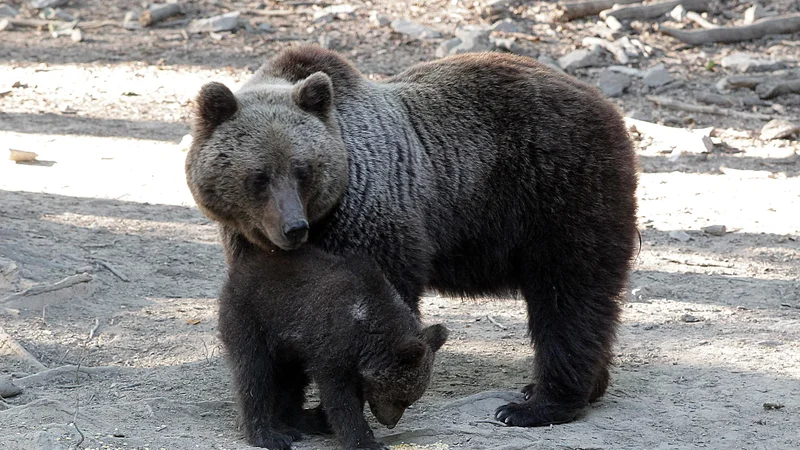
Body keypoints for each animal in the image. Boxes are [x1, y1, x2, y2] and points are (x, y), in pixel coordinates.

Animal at [186, 45, 636, 428]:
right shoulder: (254, 246)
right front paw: (287, 408)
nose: (294, 227)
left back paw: (534, 404)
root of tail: (606, 106)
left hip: (559, 193)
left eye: (303, 169)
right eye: (259, 176)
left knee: (568, 295)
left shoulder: (371, 219)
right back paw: (577, 388)